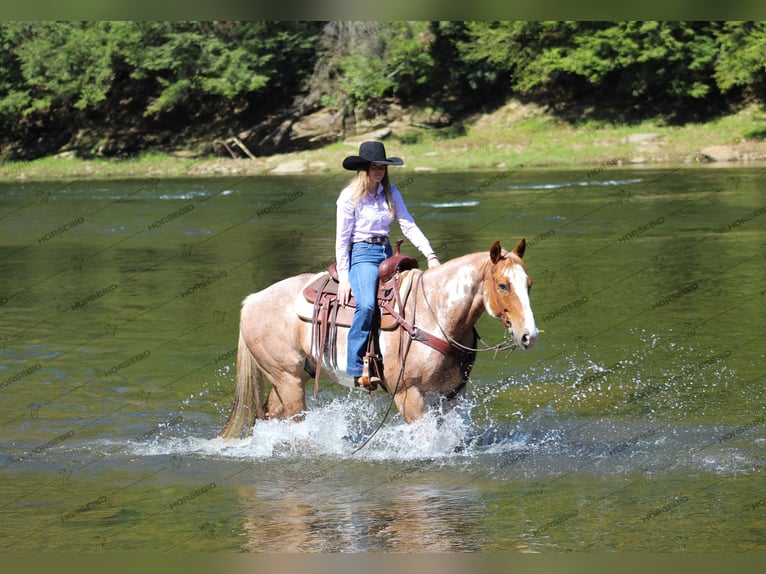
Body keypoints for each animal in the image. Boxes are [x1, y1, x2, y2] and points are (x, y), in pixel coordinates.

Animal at [218, 238, 540, 440]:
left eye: (528, 283)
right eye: (503, 285)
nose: (529, 336)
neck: (434, 313)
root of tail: (252, 300)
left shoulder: (451, 395)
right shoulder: (408, 395)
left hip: (290, 378)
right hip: (288, 380)